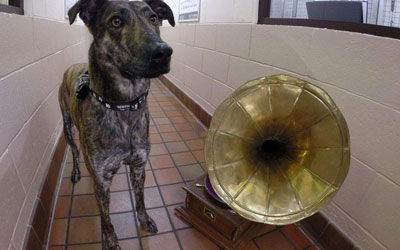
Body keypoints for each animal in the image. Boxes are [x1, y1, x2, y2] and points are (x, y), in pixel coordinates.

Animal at [58, 0, 175, 249]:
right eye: (116, 21)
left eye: (153, 18)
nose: (163, 52)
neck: (123, 106)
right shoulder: (102, 181)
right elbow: (106, 217)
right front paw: (111, 240)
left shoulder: (139, 166)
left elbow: (140, 199)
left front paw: (145, 219)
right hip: (67, 127)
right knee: (74, 151)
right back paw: (75, 171)